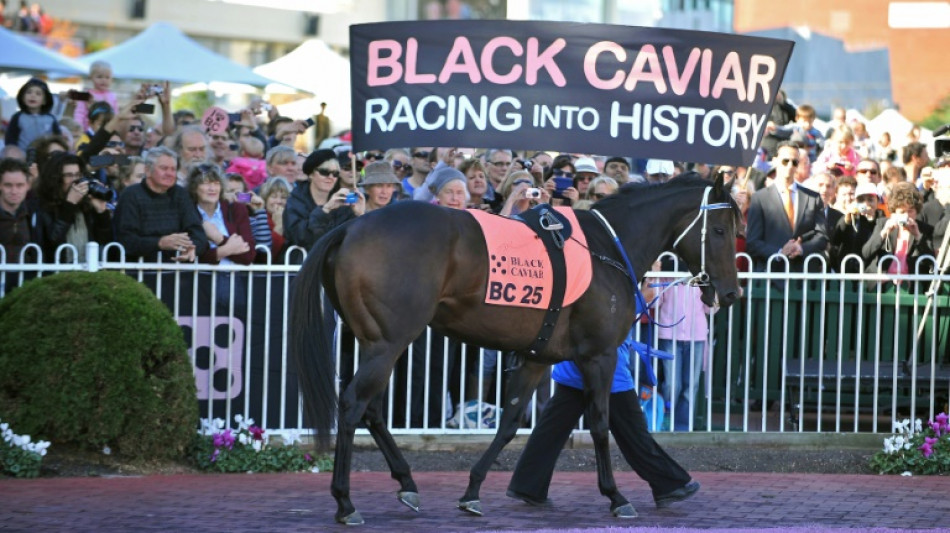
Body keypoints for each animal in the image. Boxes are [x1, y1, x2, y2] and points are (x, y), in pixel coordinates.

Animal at [290, 171, 744, 524]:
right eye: (721, 231)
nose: (732, 292)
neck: (606, 249)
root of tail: (349, 228)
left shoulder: (537, 356)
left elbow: (510, 422)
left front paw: (473, 492)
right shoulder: (598, 355)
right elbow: (600, 423)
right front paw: (616, 496)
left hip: (368, 341)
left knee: (370, 409)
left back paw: (407, 483)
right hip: (389, 342)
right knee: (353, 404)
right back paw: (346, 502)